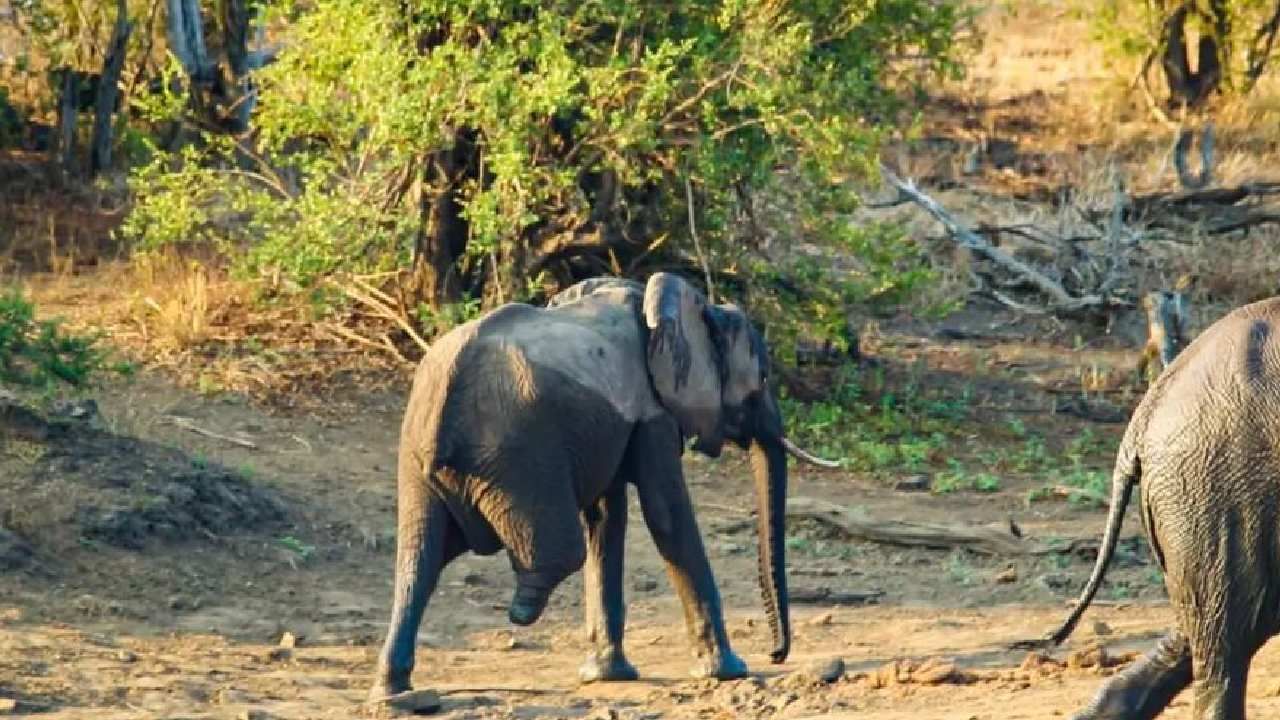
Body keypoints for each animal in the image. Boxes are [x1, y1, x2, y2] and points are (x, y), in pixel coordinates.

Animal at [366, 271, 834, 696]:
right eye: (763, 379)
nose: (776, 654)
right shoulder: (653, 413)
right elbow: (665, 515)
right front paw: (729, 671)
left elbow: (607, 519)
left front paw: (607, 676)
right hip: (518, 453)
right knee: (558, 550)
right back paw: (522, 609)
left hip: (417, 457)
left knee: (418, 558)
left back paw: (395, 693)